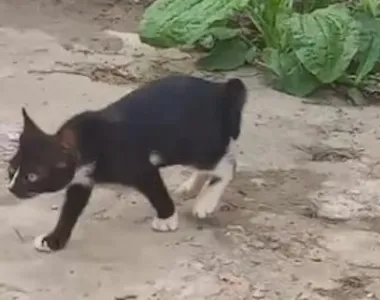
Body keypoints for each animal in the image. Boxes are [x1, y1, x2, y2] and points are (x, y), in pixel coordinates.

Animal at [8, 74, 249, 252]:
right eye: (11, 170)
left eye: (32, 176)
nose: (11, 188)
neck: (90, 143)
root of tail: (220, 90)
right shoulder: (81, 180)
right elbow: (70, 210)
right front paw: (54, 240)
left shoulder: (139, 166)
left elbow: (157, 191)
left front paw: (167, 219)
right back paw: (191, 186)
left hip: (194, 144)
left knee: (226, 165)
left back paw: (205, 202)